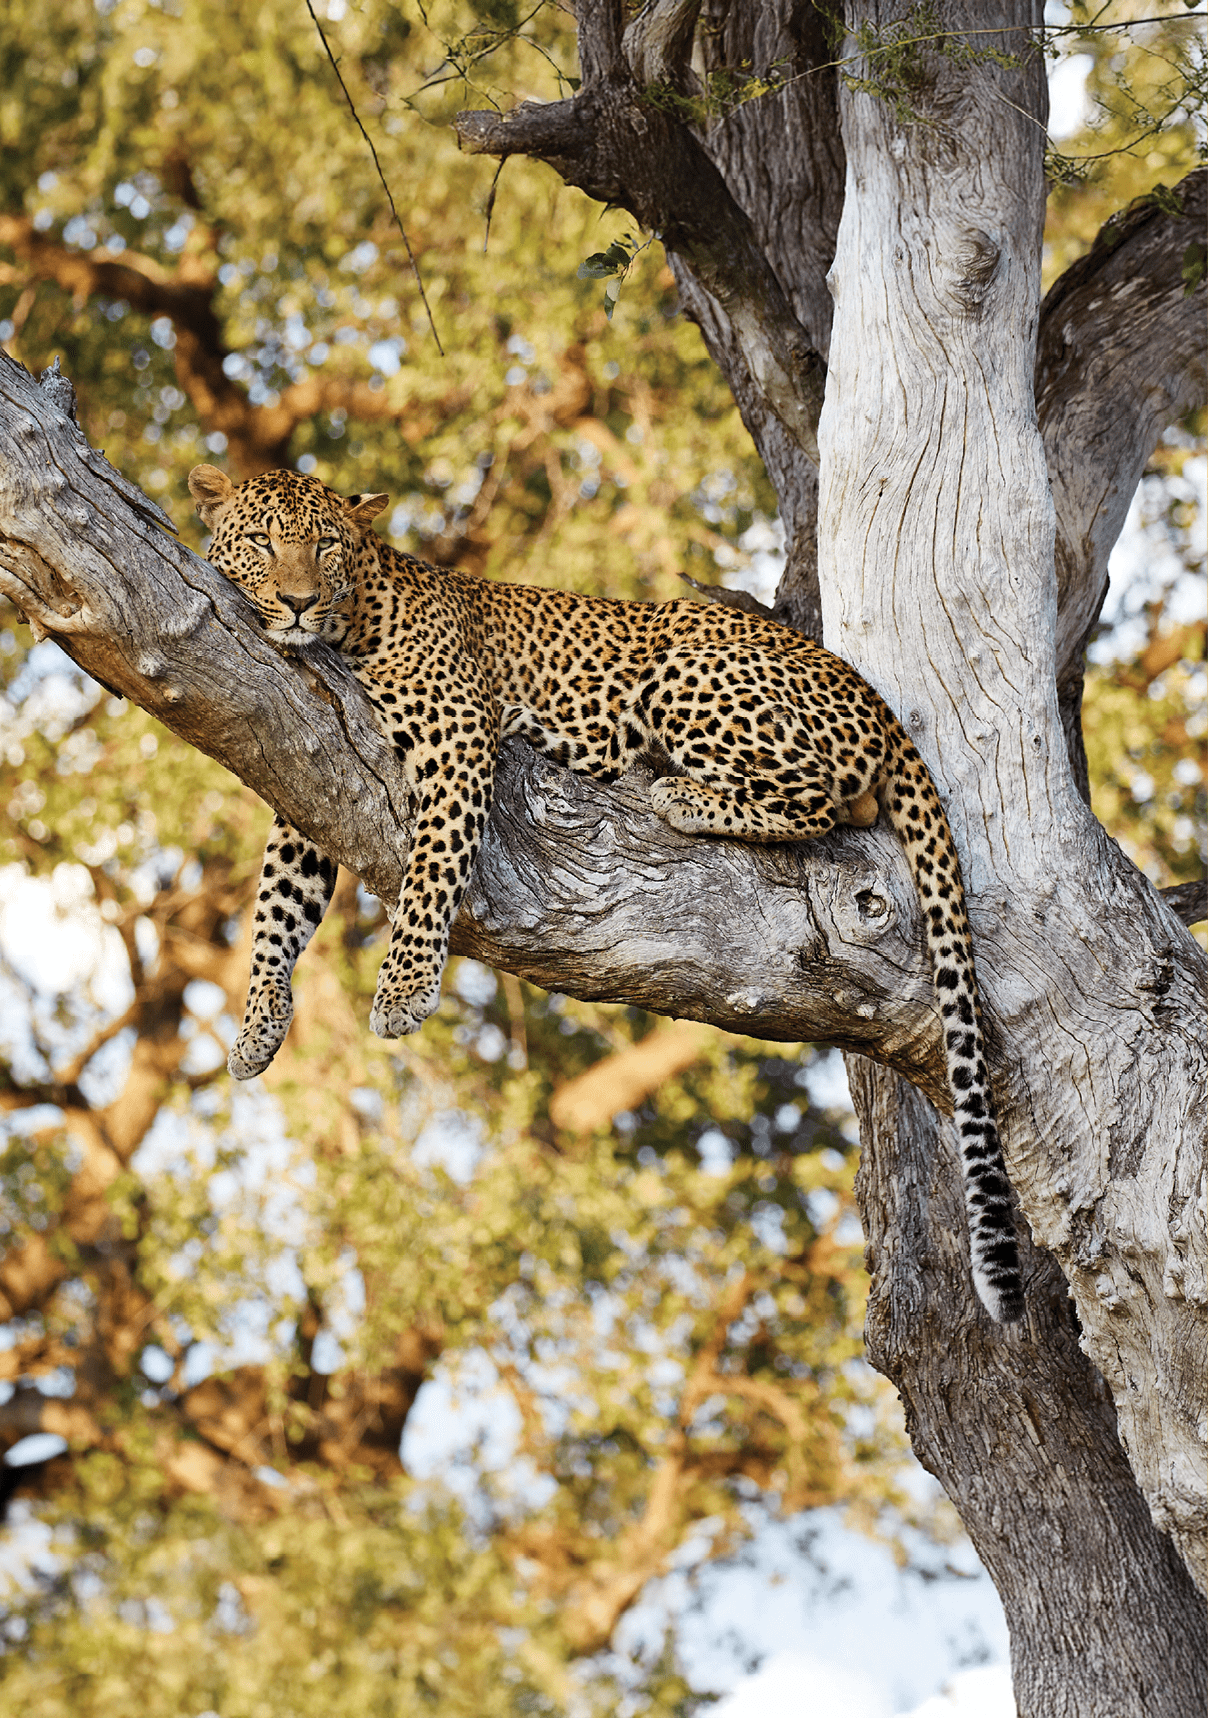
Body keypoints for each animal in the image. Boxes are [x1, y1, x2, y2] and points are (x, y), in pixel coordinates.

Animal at [187, 463, 1025, 1324]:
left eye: (325, 544)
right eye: (263, 543)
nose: (297, 601)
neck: (351, 622)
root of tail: (874, 696)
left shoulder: (456, 736)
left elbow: (430, 870)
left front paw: (404, 991)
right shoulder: (309, 771)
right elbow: (276, 909)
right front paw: (255, 1030)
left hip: (684, 672)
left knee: (827, 800)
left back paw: (674, 792)